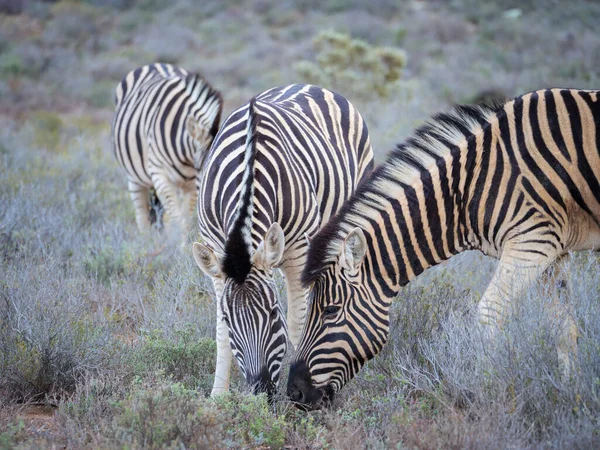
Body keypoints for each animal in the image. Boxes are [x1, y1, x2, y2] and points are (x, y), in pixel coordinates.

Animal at [110, 63, 223, 234]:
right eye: (206, 170)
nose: (214, 209)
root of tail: (152, 64)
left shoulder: (191, 184)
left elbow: (185, 219)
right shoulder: (160, 175)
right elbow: (177, 219)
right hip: (134, 178)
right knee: (142, 216)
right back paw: (146, 239)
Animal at [192, 83, 372, 398]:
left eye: (274, 313)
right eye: (229, 319)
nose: (261, 390)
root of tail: (312, 86)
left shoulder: (299, 251)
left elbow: (299, 324)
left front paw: (299, 384)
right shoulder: (216, 252)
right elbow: (220, 334)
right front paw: (218, 395)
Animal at [288, 88, 600, 412]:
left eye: (331, 310)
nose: (293, 393)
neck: (471, 188)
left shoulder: (532, 240)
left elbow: (489, 314)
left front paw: (489, 398)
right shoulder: (553, 251)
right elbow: (564, 330)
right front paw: (572, 398)